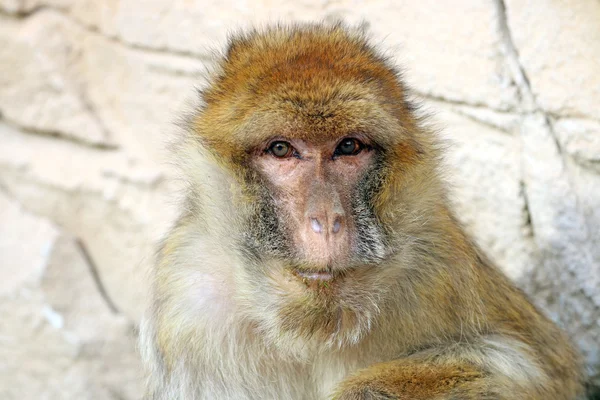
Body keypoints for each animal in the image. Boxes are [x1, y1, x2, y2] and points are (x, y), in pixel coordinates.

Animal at [138, 22, 584, 400]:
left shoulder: (439, 262)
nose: (326, 220)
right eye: (281, 149)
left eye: (348, 146)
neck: (313, 327)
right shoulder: (187, 304)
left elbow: (529, 363)